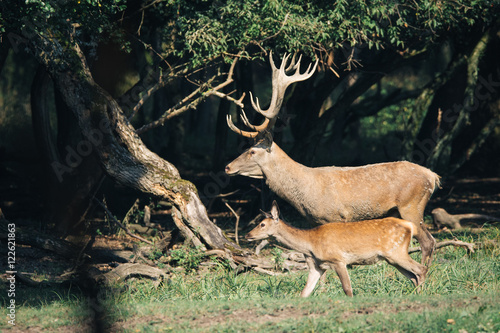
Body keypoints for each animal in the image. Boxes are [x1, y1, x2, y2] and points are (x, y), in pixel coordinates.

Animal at [229, 51, 440, 264]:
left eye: (252, 151)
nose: (227, 167)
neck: (305, 192)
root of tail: (433, 177)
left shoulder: (337, 216)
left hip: (412, 205)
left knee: (429, 241)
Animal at [246, 200, 426, 296]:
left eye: (262, 224)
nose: (248, 235)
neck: (310, 245)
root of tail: (409, 226)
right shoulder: (316, 267)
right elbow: (305, 292)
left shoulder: (338, 260)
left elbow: (347, 289)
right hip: (392, 258)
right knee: (413, 276)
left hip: (396, 252)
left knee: (420, 269)